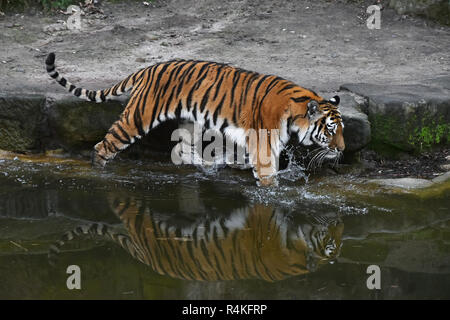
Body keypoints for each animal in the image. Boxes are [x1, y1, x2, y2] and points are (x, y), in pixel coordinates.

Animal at [44, 53, 344, 186]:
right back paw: (99, 171)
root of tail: (147, 68)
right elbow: (268, 176)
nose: (342, 150)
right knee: (104, 145)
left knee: (182, 149)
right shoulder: (264, 146)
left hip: (189, 122)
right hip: (137, 118)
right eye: (330, 130)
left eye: (342, 130)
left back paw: (206, 166)